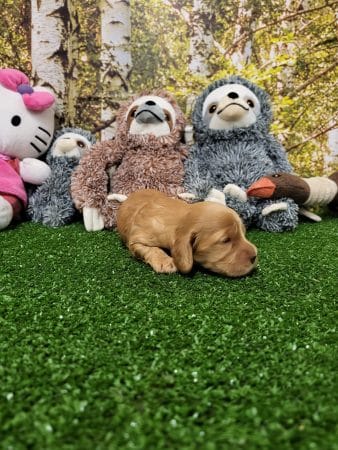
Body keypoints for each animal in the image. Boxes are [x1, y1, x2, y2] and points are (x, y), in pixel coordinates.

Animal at [115, 188, 258, 276]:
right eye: (226, 240)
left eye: (243, 233)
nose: (255, 256)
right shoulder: (136, 239)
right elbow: (151, 249)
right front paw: (165, 261)